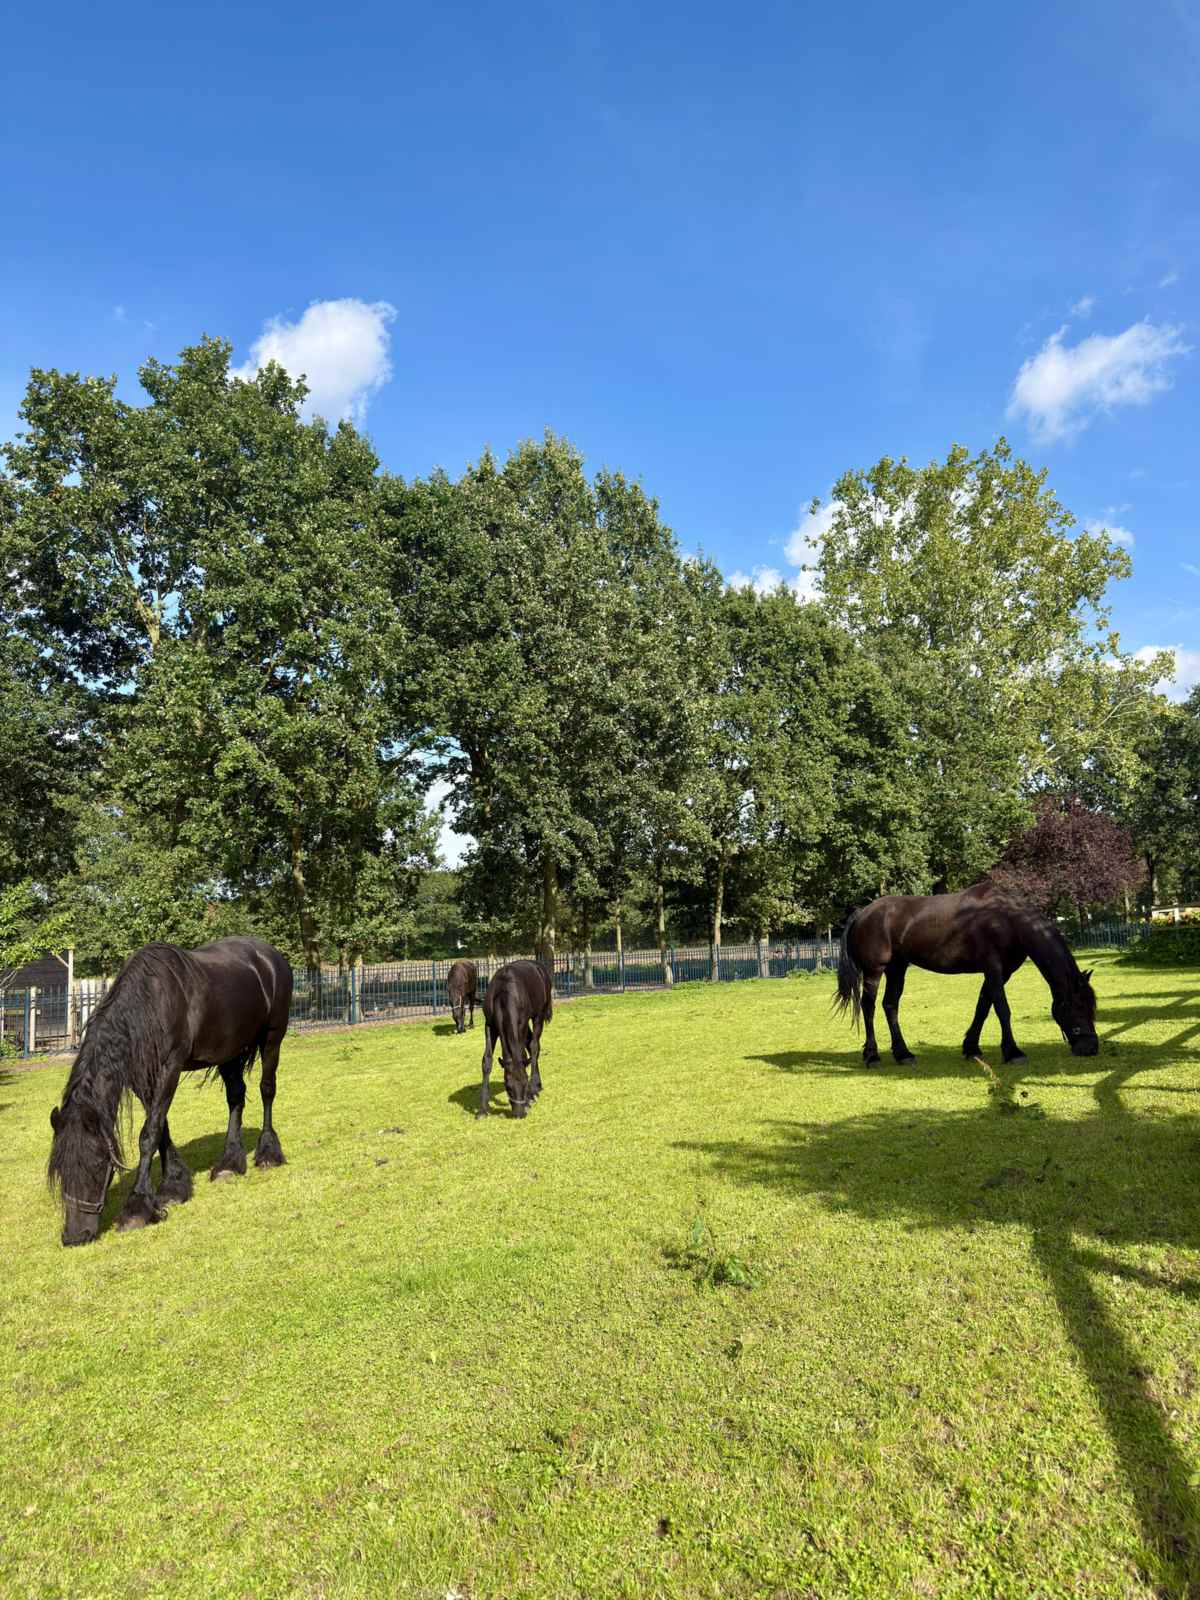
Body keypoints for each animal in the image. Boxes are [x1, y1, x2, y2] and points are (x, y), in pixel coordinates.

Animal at [47, 936, 292, 1246]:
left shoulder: (170, 1069)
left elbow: (148, 1134)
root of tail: (270, 955)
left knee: (266, 1090)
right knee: (236, 1096)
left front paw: (137, 1208)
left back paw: (268, 1154)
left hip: (272, 1038)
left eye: (97, 1164)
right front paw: (174, 1186)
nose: (75, 1236)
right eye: (60, 1169)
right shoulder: (142, 1078)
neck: (149, 1004)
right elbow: (160, 1127)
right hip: (229, 1051)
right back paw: (229, 1164)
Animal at [478, 959, 552, 1119]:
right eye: (508, 1086)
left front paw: (530, 1096)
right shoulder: (490, 1025)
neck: (503, 994)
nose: (519, 1113)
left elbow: (523, 1054)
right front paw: (482, 1109)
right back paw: (538, 1085)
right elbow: (487, 1061)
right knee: (531, 1045)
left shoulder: (522, 1023)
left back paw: (535, 1087)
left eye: (524, 1083)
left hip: (539, 1015)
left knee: (534, 1046)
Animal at [835, 882, 1098, 1067]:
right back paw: (872, 1056)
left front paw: (971, 1047)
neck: (1006, 918)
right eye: (1077, 1006)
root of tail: (862, 913)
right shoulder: (993, 968)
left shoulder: (1001, 973)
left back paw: (904, 1054)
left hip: (897, 969)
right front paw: (1013, 1052)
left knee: (890, 1005)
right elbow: (1002, 1009)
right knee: (868, 1007)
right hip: (874, 971)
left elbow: (983, 1007)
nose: (1091, 1048)